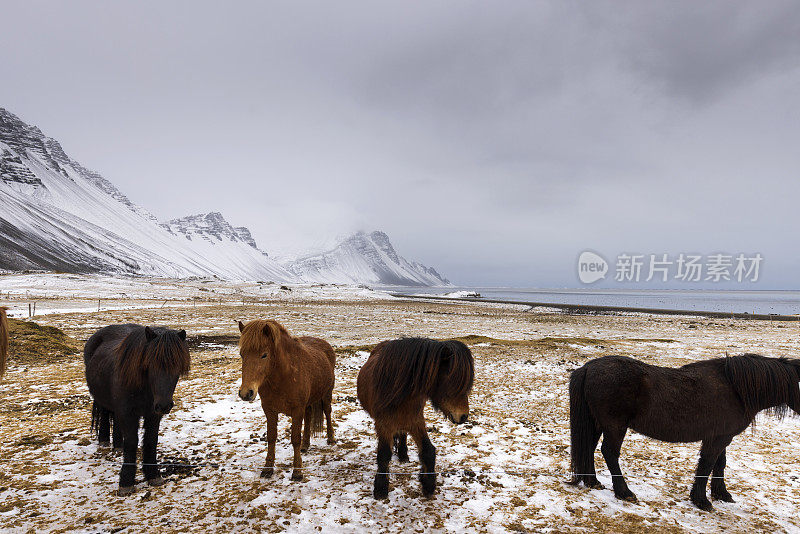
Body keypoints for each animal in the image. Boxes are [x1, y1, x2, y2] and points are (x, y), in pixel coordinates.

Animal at [83, 326, 190, 498]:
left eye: (177, 366)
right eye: (150, 364)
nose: (164, 405)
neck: (145, 388)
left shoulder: (153, 414)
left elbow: (151, 440)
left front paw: (153, 475)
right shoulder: (128, 413)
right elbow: (132, 442)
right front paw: (126, 482)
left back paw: (118, 445)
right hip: (102, 399)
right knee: (105, 414)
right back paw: (104, 441)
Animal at [238, 320, 338, 484]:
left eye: (264, 355)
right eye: (242, 354)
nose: (246, 393)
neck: (283, 377)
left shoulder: (297, 410)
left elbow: (295, 439)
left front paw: (297, 472)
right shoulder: (269, 410)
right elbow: (271, 437)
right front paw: (267, 469)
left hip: (326, 393)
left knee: (327, 412)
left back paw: (331, 438)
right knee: (309, 416)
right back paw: (306, 445)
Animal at [356, 342, 476, 500]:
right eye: (454, 380)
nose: (463, 416)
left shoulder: (416, 421)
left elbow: (428, 450)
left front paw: (428, 485)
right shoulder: (383, 425)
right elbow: (384, 455)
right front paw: (380, 489)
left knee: (402, 434)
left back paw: (403, 455)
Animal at [568, 354, 800, 512]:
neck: (735, 389)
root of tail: (588, 367)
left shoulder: (720, 436)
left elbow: (719, 464)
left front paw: (721, 494)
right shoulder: (718, 439)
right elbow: (707, 465)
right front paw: (702, 500)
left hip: (597, 424)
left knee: (589, 449)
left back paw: (593, 482)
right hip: (615, 426)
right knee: (609, 453)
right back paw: (624, 492)